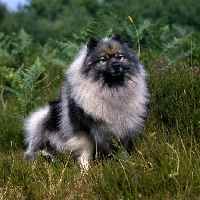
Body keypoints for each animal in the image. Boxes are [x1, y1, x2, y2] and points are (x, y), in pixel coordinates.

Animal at [23, 34, 148, 169]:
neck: (112, 92)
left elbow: (122, 147)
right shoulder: (84, 131)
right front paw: (86, 169)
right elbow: (85, 152)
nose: (116, 65)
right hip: (42, 123)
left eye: (119, 57)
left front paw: (126, 161)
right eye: (103, 59)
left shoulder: (123, 127)